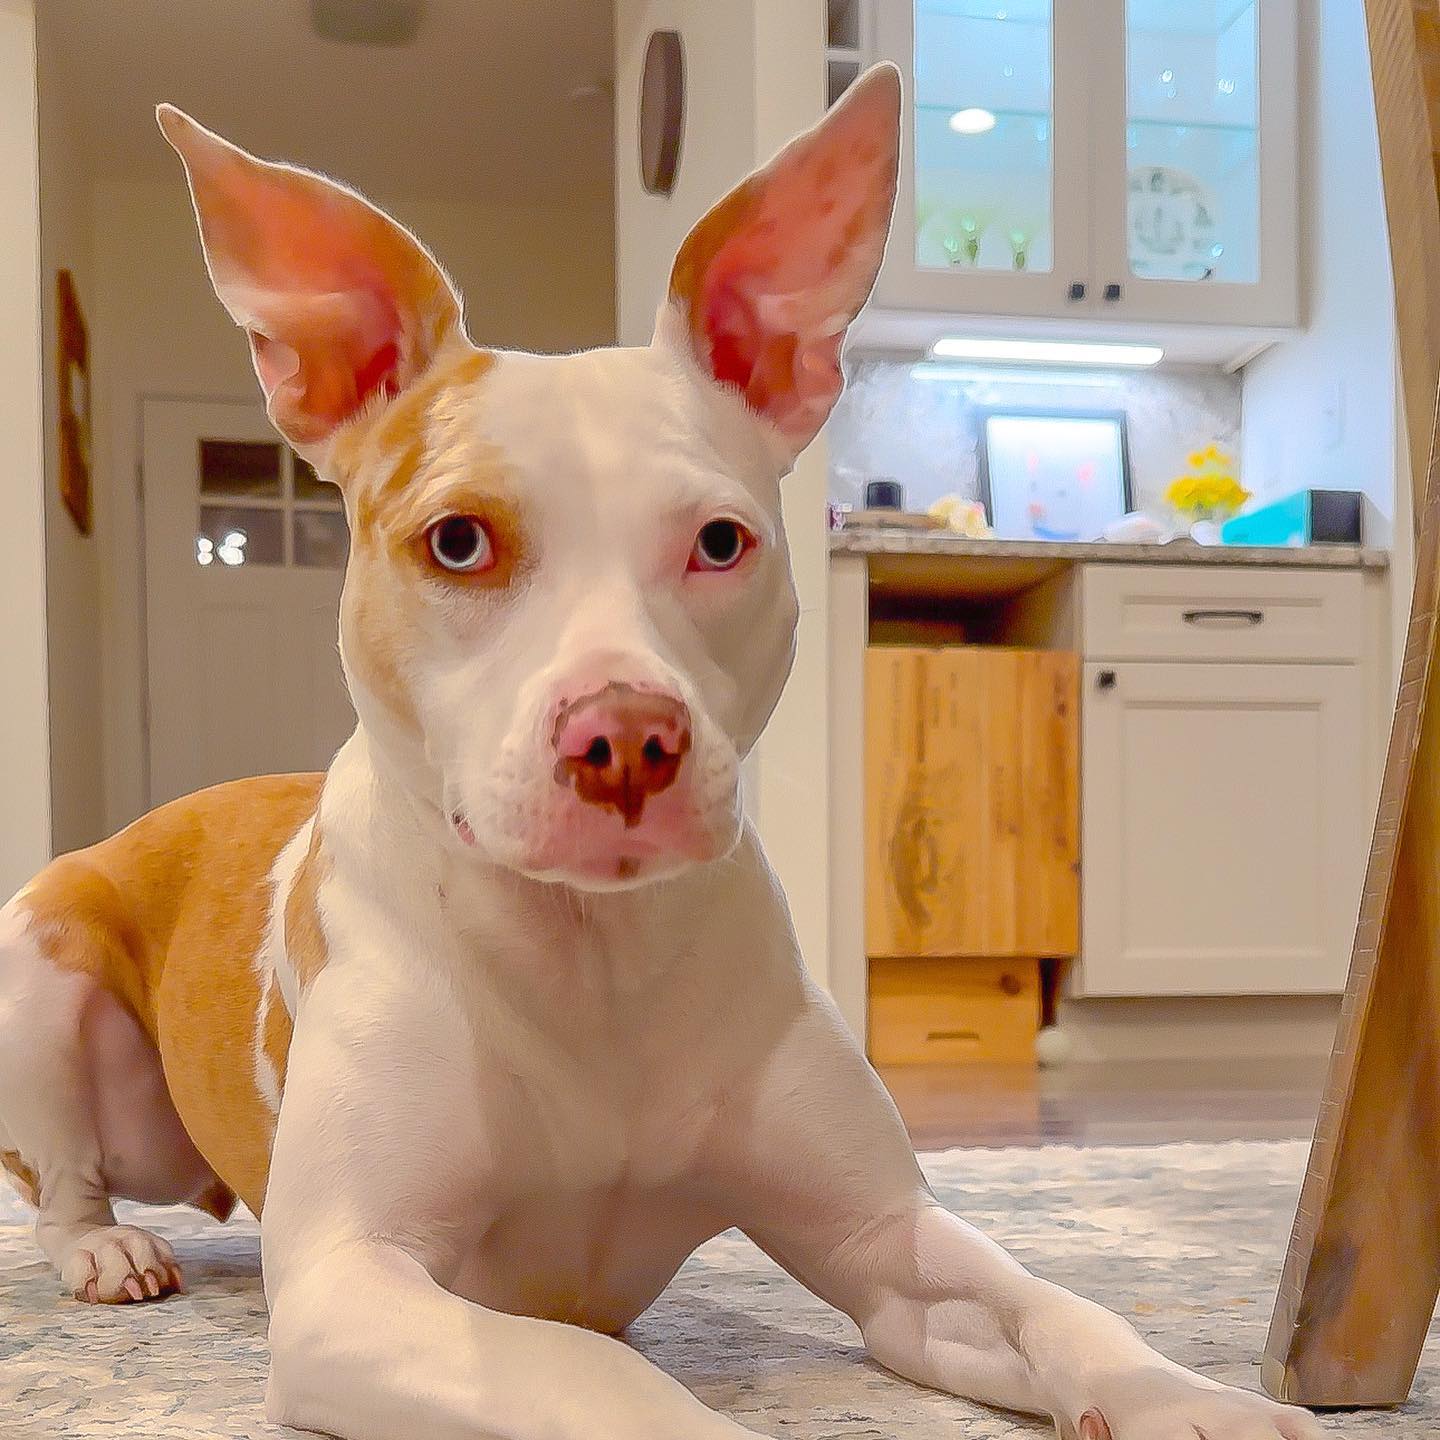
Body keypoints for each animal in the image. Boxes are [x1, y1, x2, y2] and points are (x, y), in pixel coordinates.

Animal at [0, 70, 1319, 1440]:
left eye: (721, 540)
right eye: (458, 541)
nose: (627, 737)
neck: (593, 961)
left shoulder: (888, 1241)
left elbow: (1061, 1310)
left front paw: (1191, 1399)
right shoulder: (352, 1283)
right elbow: (607, 1380)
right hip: (43, 971)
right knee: (66, 1178)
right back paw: (106, 1250)